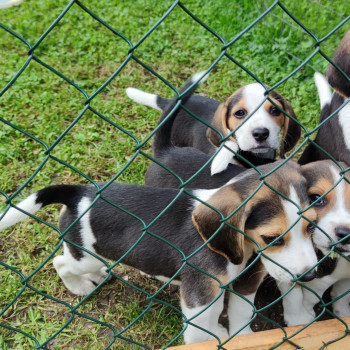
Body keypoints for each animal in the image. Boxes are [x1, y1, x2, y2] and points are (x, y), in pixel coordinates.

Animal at [0, 161, 322, 344]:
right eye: (272, 238)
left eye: (310, 227)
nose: (309, 275)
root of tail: (80, 193)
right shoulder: (198, 295)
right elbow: (198, 331)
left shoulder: (228, 287)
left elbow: (228, 316)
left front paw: (227, 336)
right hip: (85, 255)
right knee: (60, 262)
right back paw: (79, 286)